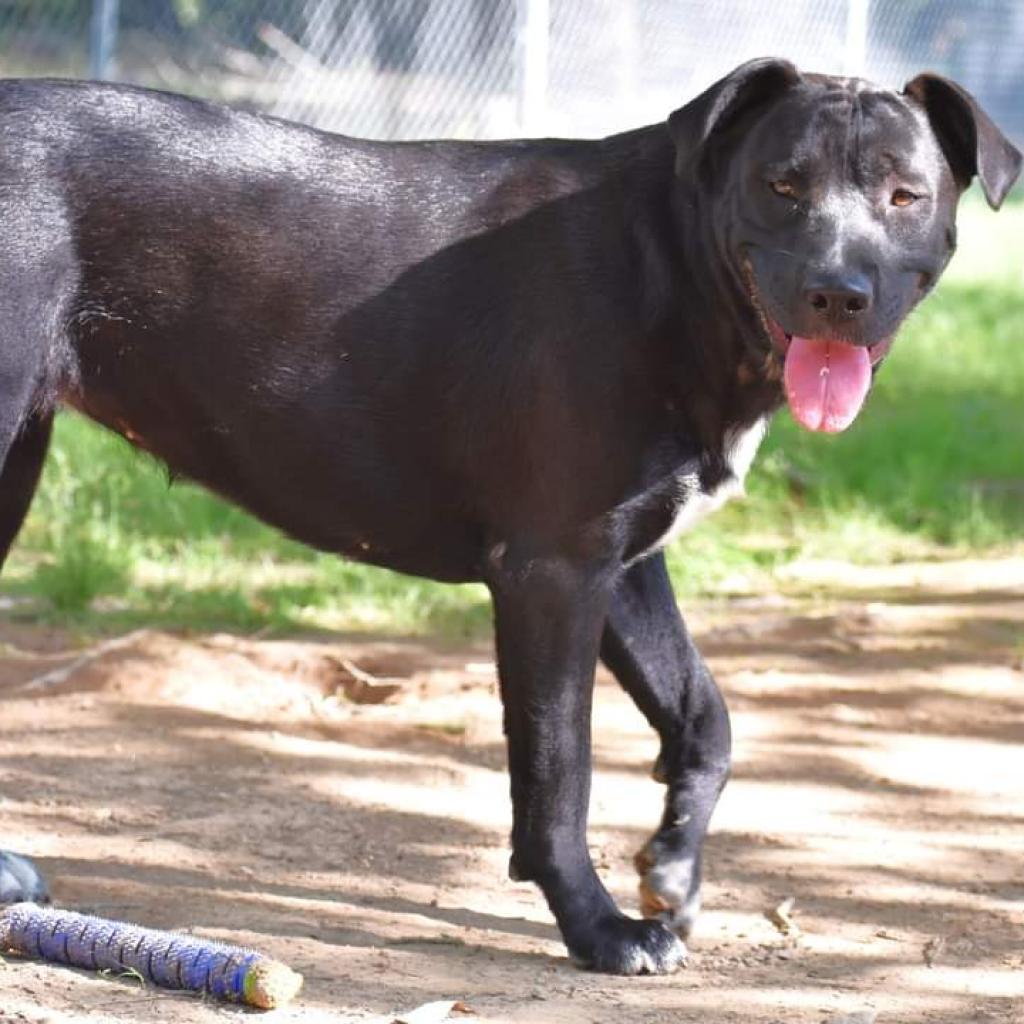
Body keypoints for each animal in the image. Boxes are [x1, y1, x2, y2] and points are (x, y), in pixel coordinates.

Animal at [0, 58, 1015, 974]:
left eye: (903, 194)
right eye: (781, 186)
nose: (837, 295)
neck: (671, 267)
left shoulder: (623, 563)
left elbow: (705, 714)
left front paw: (673, 868)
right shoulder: (553, 571)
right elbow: (560, 772)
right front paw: (601, 928)